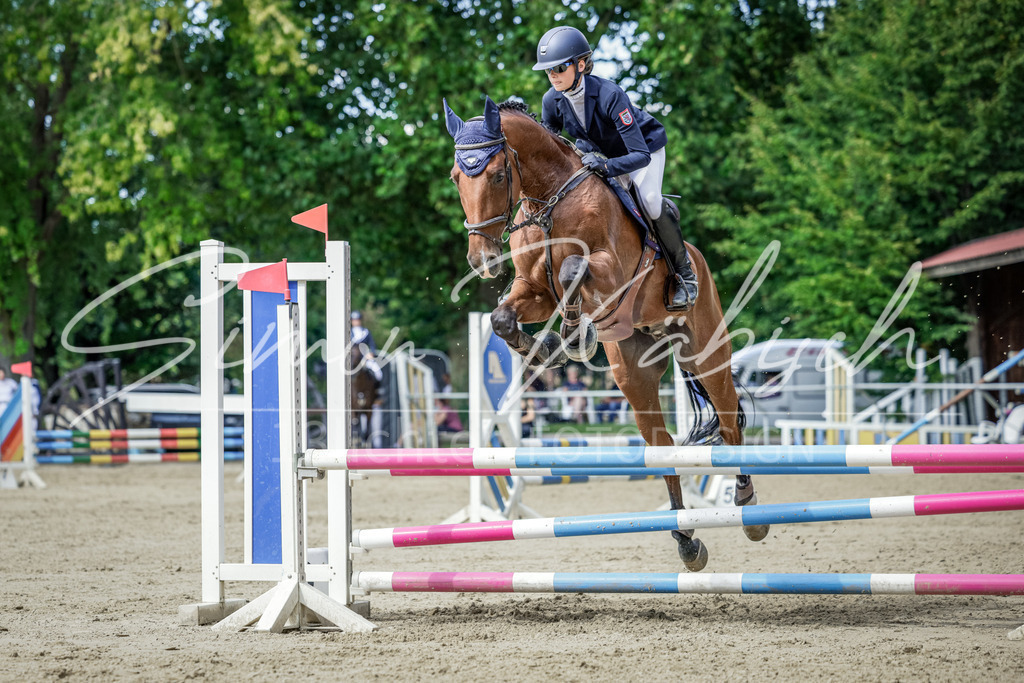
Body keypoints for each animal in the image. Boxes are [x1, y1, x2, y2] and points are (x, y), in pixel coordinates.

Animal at [443, 96, 767, 571]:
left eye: (499, 174)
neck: (551, 201)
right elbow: (502, 318)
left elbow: (572, 269)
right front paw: (548, 348)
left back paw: (747, 507)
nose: (480, 260)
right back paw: (686, 540)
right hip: (635, 373)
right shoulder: (534, 291)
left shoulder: (610, 273)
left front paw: (574, 336)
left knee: (728, 422)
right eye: (455, 177)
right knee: (661, 443)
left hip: (707, 355)